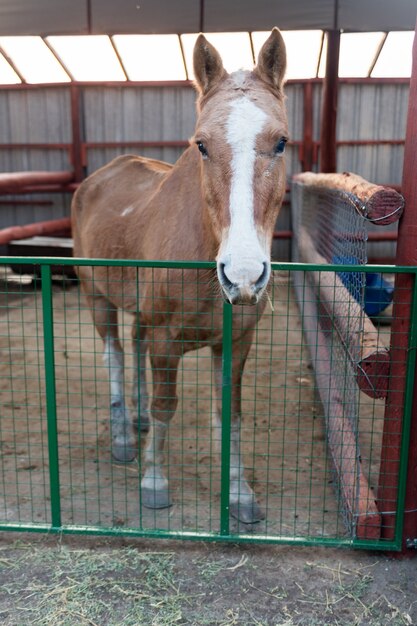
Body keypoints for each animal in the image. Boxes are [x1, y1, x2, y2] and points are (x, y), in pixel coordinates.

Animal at [72, 28, 286, 520]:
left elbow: (231, 415)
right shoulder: (167, 341)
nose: (242, 276)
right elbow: (166, 406)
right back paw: (123, 437)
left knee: (133, 346)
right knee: (115, 355)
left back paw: (136, 421)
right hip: (96, 297)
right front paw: (153, 482)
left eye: (281, 142)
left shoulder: (236, 343)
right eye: (201, 144)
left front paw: (240, 493)